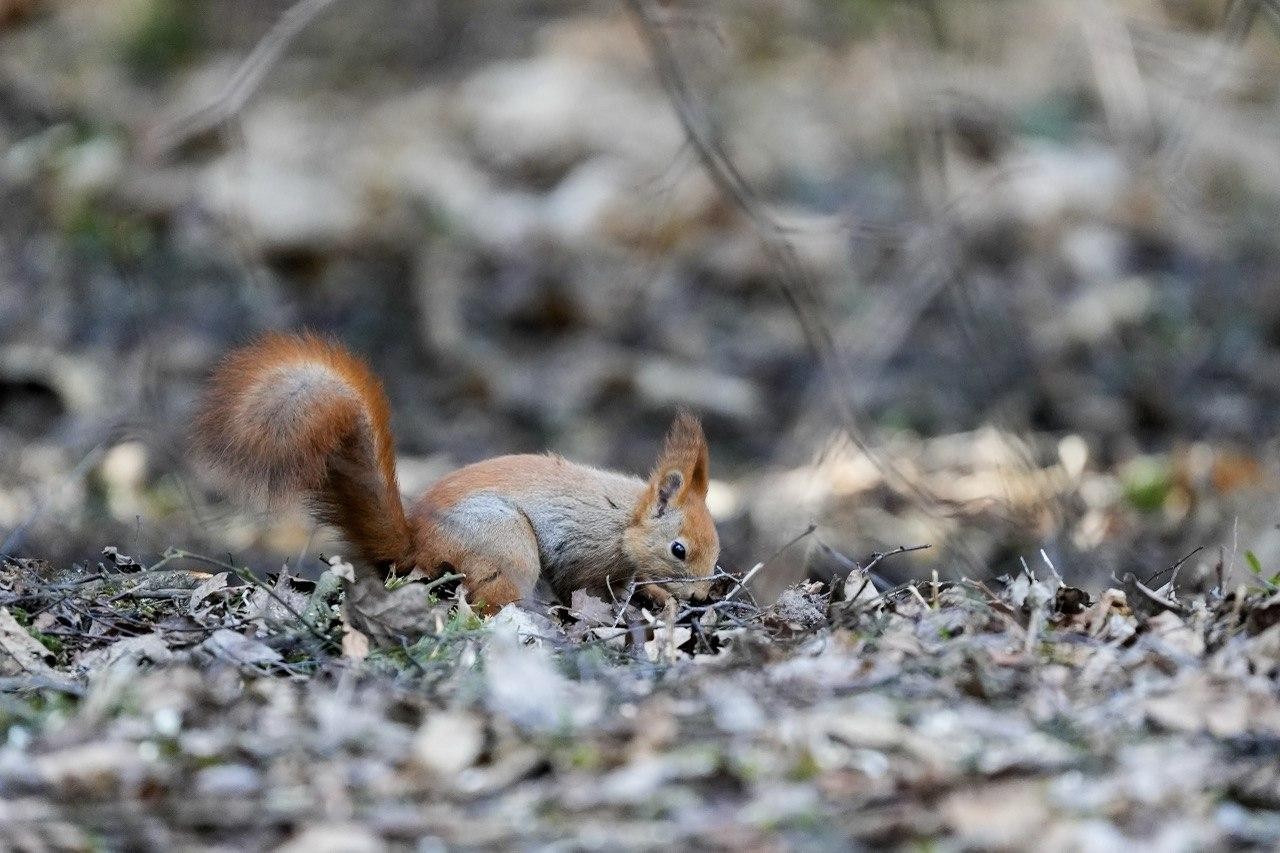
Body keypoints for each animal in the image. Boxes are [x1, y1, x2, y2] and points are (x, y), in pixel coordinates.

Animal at [193, 333, 721, 613]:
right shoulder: (587, 550)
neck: (623, 519)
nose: (700, 595)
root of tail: (414, 544)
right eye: (678, 550)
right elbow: (584, 587)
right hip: (505, 545)